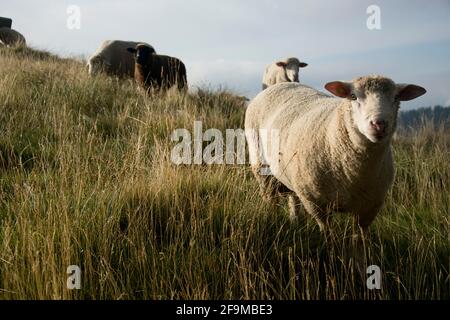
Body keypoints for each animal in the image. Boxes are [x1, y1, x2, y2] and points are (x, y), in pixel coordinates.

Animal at [246, 76, 426, 234]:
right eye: (353, 96)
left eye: (396, 97)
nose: (379, 124)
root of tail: (280, 85)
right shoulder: (316, 203)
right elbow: (327, 233)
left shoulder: (369, 208)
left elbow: (359, 238)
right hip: (262, 168)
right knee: (271, 200)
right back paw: (274, 219)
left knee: (293, 198)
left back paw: (295, 221)